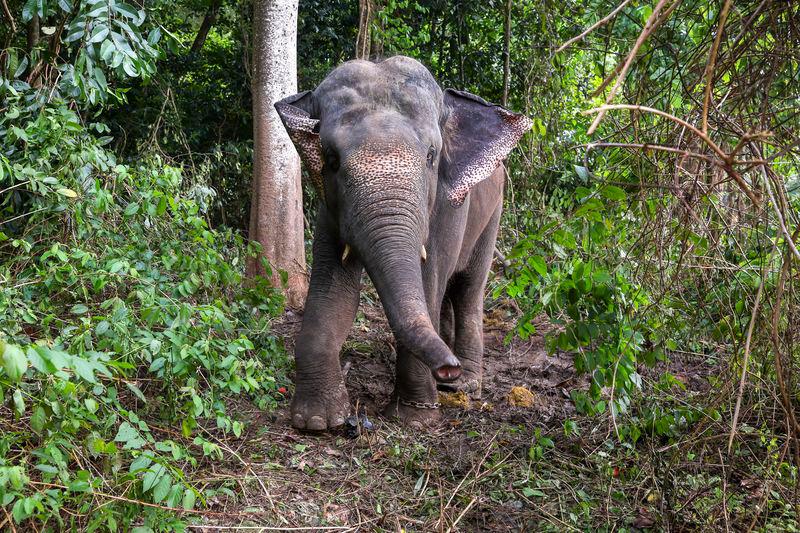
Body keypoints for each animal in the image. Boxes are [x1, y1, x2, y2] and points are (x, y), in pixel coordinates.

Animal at [276, 55, 532, 428]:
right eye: (331, 158)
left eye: (431, 155)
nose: (448, 367)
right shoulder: (329, 205)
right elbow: (334, 288)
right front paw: (317, 422)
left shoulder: (448, 205)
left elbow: (427, 282)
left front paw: (414, 418)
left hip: (493, 213)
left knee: (468, 289)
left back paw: (466, 384)